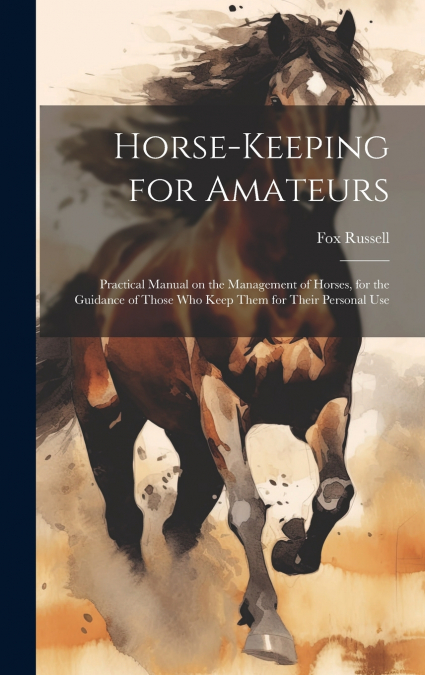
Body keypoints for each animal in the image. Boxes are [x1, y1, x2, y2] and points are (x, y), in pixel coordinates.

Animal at [38, 11, 373, 665]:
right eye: (275, 99)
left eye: (344, 99)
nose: (316, 195)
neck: (279, 277)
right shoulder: (221, 399)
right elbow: (247, 507)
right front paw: (269, 628)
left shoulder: (326, 398)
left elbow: (334, 493)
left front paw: (290, 553)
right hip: (109, 415)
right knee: (126, 520)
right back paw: (144, 618)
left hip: (186, 432)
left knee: (179, 525)